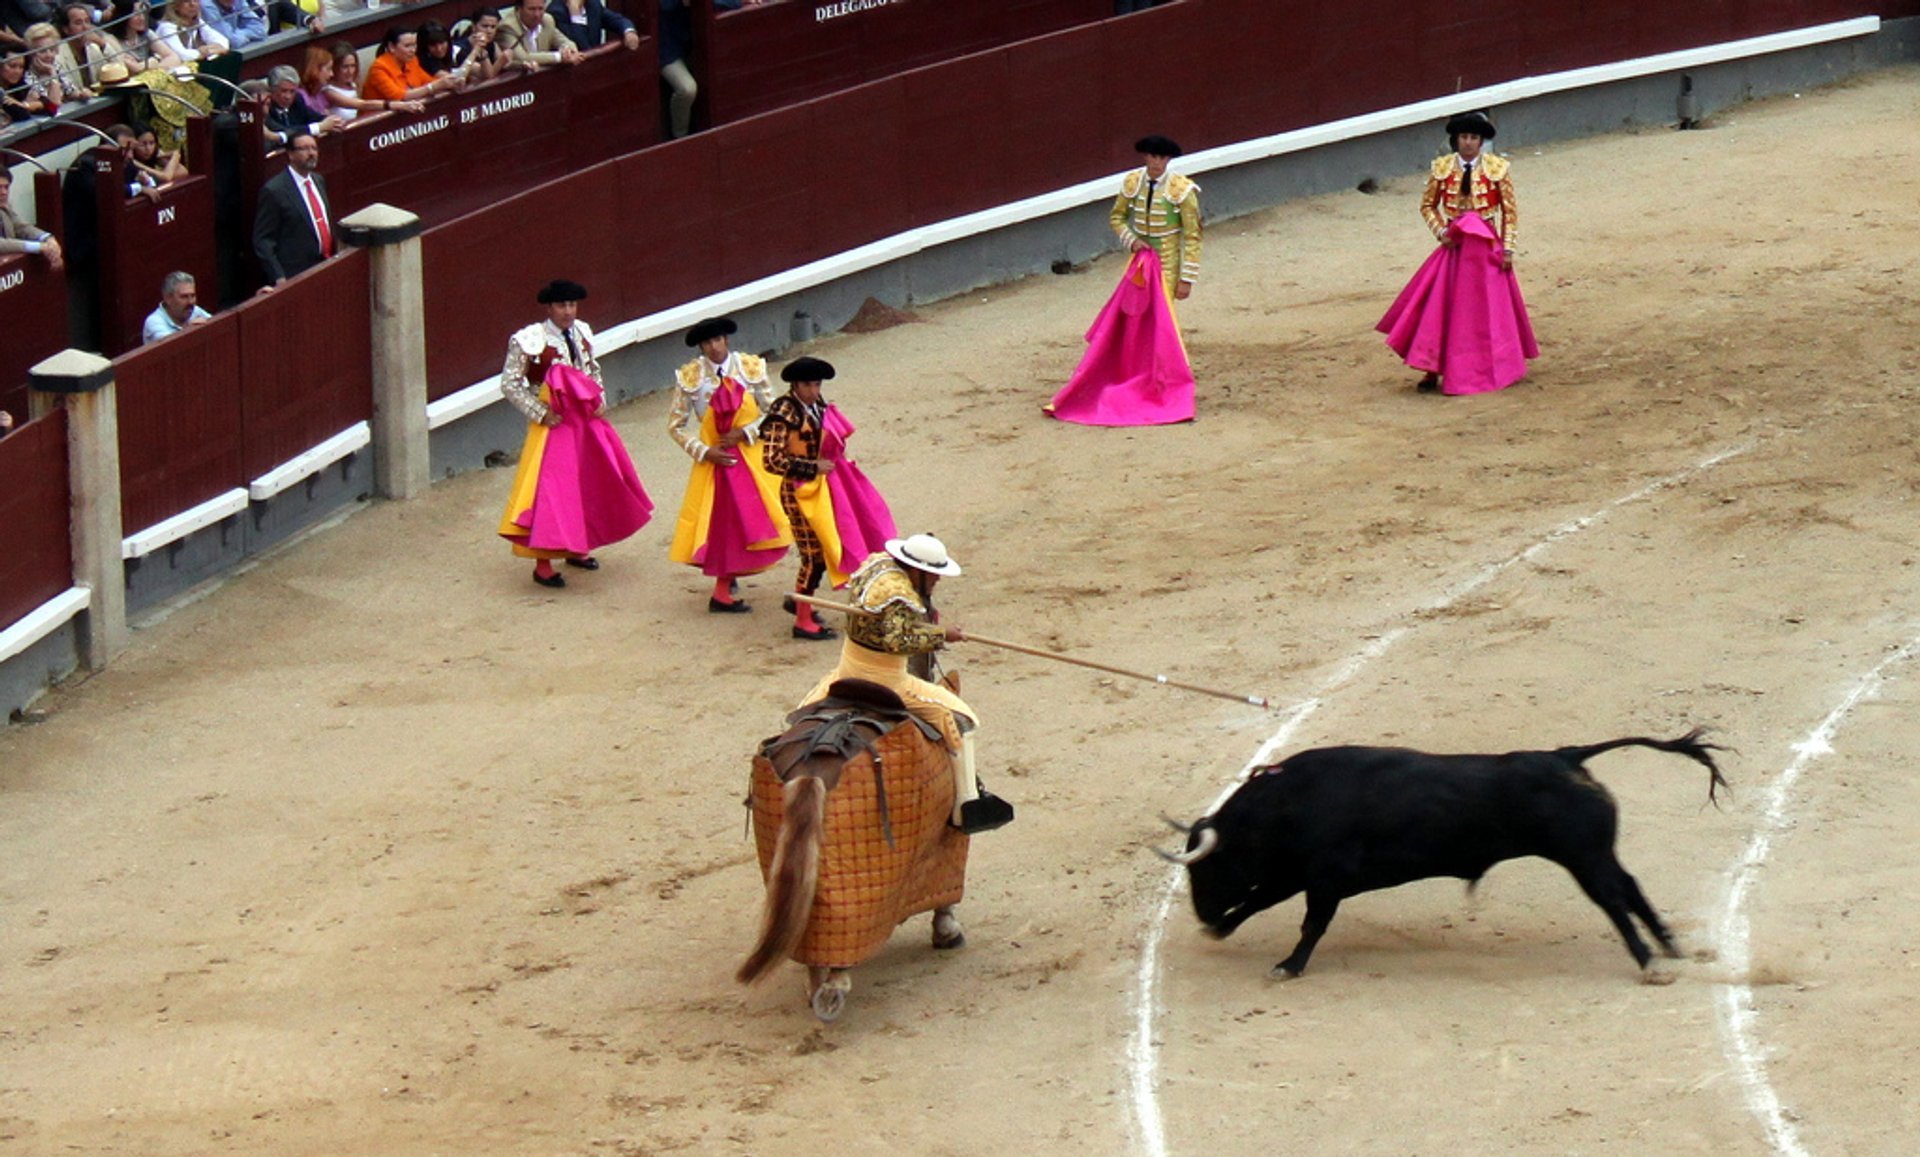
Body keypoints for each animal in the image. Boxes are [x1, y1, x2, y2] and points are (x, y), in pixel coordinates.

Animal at [1159, 732, 1735, 978]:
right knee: (1631, 887)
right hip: (1595, 853)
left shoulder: (1324, 878)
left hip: (1581, 857)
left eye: (1209, 867)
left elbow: (1310, 924)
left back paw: (1648, 962)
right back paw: (1669, 948)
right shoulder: (1296, 873)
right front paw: (1223, 930)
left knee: (1613, 899)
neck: (1287, 803)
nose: (1202, 914)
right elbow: (1259, 901)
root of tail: (1566, 756)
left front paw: (1289, 966)